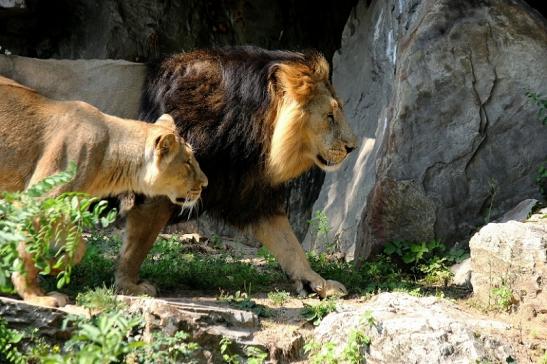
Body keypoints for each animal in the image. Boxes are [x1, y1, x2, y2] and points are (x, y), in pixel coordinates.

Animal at [0, 77, 209, 308]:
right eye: (188, 162)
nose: (205, 183)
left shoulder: (65, 208)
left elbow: (79, 247)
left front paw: (53, 264)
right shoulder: (38, 203)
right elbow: (28, 252)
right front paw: (36, 295)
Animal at [117, 45, 358, 298]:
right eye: (329, 116)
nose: (352, 147)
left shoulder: (248, 191)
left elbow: (289, 245)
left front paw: (318, 283)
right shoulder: (159, 188)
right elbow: (138, 243)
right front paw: (129, 285)